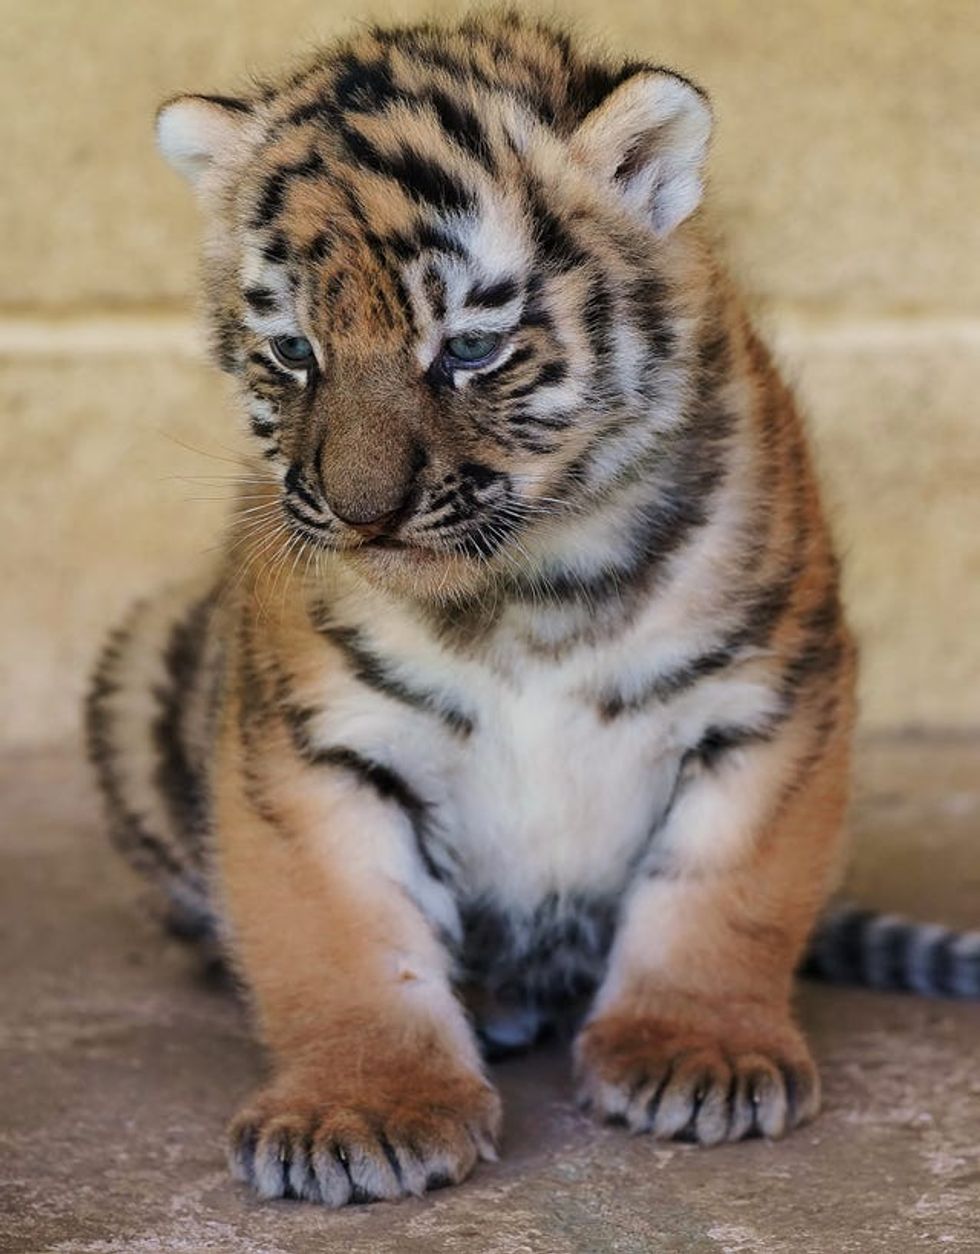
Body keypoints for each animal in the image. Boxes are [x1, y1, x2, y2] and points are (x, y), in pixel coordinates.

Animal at [85, 10, 979, 1209]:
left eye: (469, 347)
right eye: (293, 352)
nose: (362, 515)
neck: (523, 589)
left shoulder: (771, 697)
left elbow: (722, 890)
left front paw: (695, 1052)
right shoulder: (314, 746)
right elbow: (341, 938)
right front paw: (362, 1109)